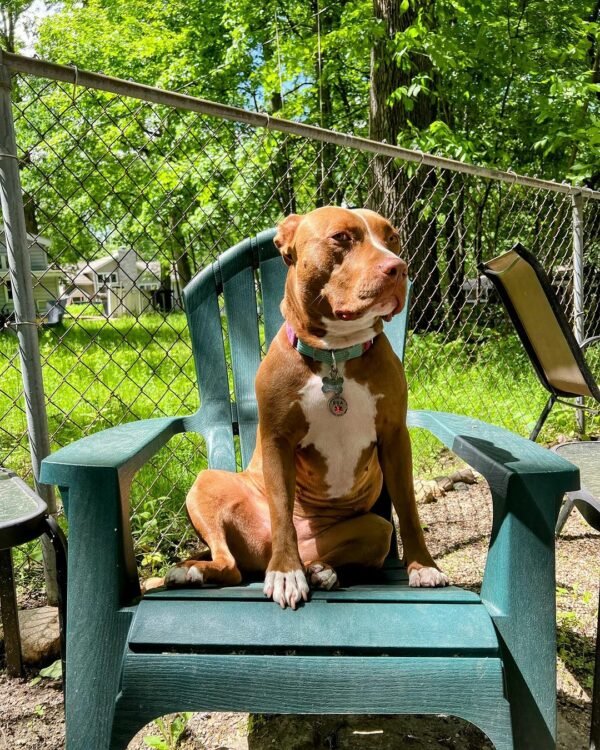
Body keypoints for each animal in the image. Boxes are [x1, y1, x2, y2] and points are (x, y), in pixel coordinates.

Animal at [166, 207, 448, 612]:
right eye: (341, 238)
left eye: (392, 238)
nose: (399, 268)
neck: (335, 355)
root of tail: (260, 556)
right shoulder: (277, 440)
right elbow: (282, 509)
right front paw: (287, 573)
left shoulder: (395, 437)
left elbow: (409, 509)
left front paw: (423, 567)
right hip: (208, 484)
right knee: (230, 564)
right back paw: (195, 569)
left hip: (376, 529)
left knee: (338, 549)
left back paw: (322, 571)